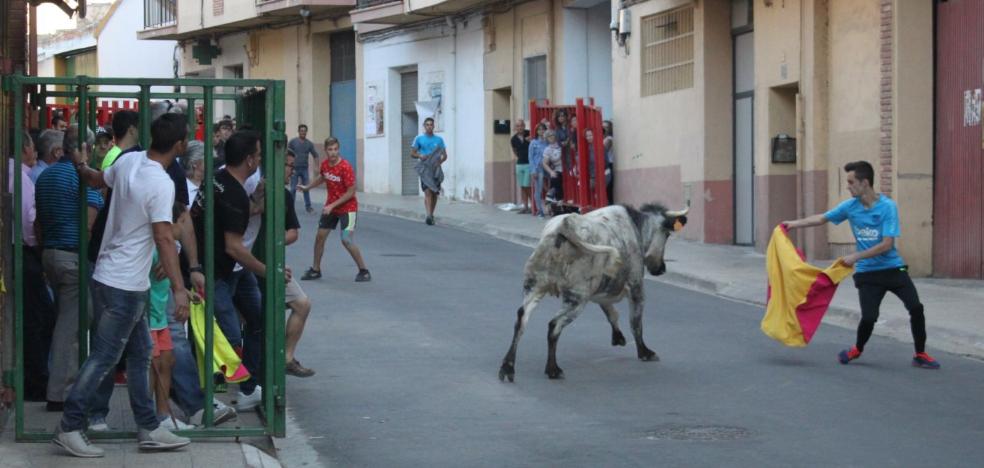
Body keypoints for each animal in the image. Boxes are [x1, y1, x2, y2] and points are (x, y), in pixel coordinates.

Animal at [496, 203, 688, 382]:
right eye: (667, 234)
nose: (661, 269)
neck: (636, 227)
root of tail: (563, 227)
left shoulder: (602, 290)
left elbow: (611, 313)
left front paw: (618, 337)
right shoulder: (636, 286)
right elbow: (635, 322)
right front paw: (644, 352)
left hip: (534, 285)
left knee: (521, 319)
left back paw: (507, 368)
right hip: (576, 298)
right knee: (554, 324)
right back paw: (553, 369)